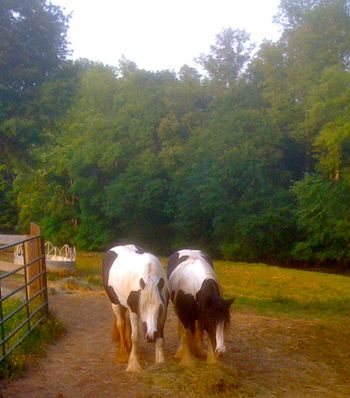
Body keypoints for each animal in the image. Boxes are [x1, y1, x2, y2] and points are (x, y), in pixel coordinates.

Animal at [102, 244, 170, 372]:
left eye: (159, 307)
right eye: (142, 307)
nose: (150, 337)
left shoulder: (164, 312)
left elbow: (160, 337)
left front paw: (160, 362)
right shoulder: (134, 310)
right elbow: (135, 337)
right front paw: (133, 364)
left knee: (127, 323)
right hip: (115, 304)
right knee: (121, 324)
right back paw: (123, 353)